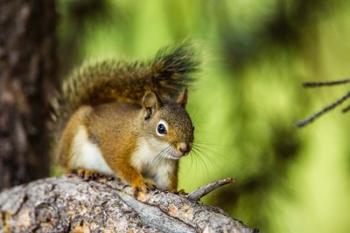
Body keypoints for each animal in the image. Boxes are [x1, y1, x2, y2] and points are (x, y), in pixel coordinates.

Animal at [52, 42, 200, 196]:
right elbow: (123, 167)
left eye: (192, 126)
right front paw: (140, 182)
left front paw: (176, 191)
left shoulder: (166, 166)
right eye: (161, 128)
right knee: (67, 167)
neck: (154, 150)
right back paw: (84, 170)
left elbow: (167, 182)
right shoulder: (120, 147)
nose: (184, 148)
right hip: (72, 142)